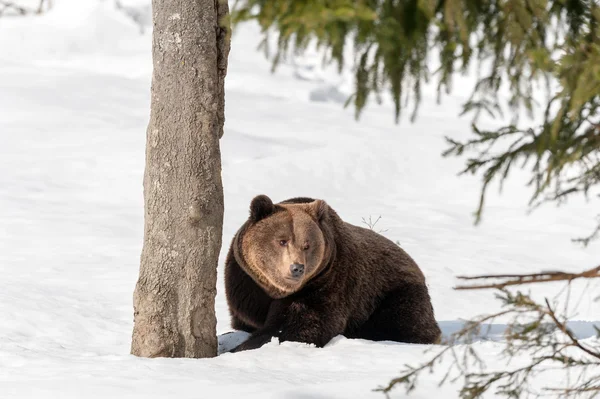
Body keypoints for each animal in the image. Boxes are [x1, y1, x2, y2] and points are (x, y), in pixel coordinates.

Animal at [225, 195, 440, 352]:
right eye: (282, 241)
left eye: (307, 245)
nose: (297, 268)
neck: (276, 291)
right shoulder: (246, 285)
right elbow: (245, 319)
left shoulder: (326, 283)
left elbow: (299, 327)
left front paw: (242, 347)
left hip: (391, 295)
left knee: (404, 323)